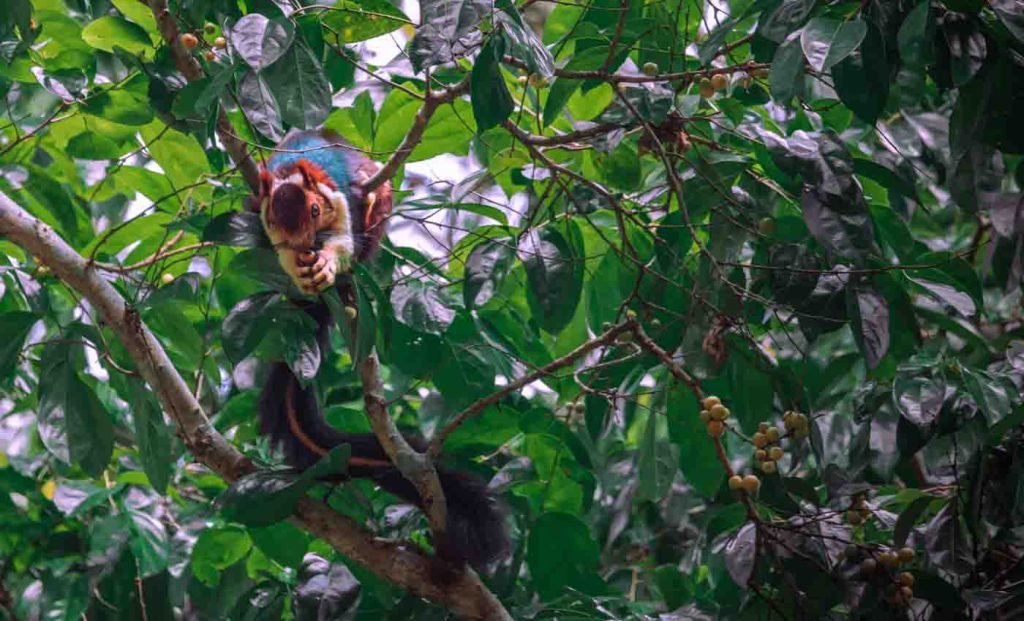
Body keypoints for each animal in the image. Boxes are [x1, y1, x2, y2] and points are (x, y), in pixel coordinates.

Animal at [247, 129, 509, 570]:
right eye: (274, 220)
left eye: (314, 209)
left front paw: (327, 262)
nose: (305, 247)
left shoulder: (343, 198)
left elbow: (344, 239)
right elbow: (279, 249)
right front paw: (297, 265)